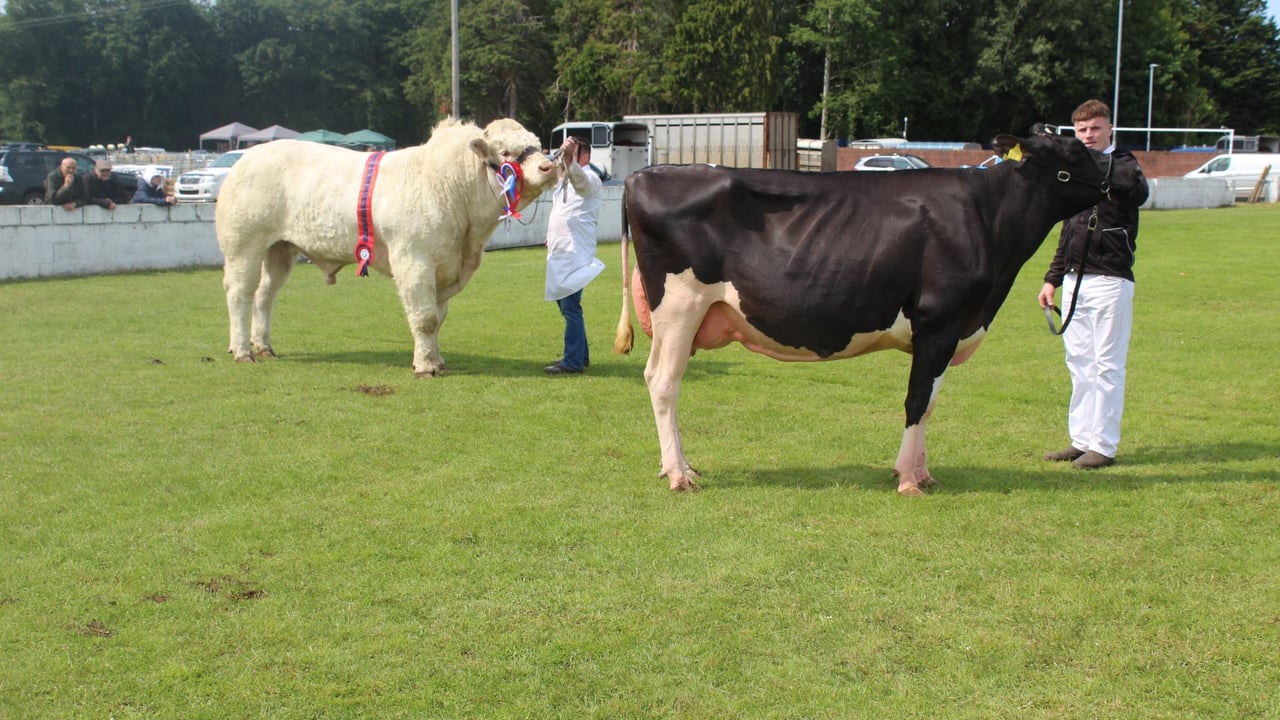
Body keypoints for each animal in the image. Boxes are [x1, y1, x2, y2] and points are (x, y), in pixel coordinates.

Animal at [216, 117, 558, 377]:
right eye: (506, 152)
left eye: (538, 144)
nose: (548, 167)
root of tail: (246, 159)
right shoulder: (413, 260)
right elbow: (425, 318)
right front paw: (426, 367)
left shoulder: (444, 267)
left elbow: (438, 317)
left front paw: (436, 359)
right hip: (243, 245)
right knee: (240, 293)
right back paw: (242, 351)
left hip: (280, 249)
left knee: (265, 294)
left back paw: (264, 347)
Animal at [613, 129, 1148, 495]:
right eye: (1073, 151)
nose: (1137, 175)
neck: (987, 219)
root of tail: (643, 175)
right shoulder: (940, 322)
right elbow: (916, 401)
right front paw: (908, 479)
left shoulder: (950, 332)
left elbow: (930, 402)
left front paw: (922, 472)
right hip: (680, 304)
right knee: (663, 382)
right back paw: (680, 474)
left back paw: (676, 466)